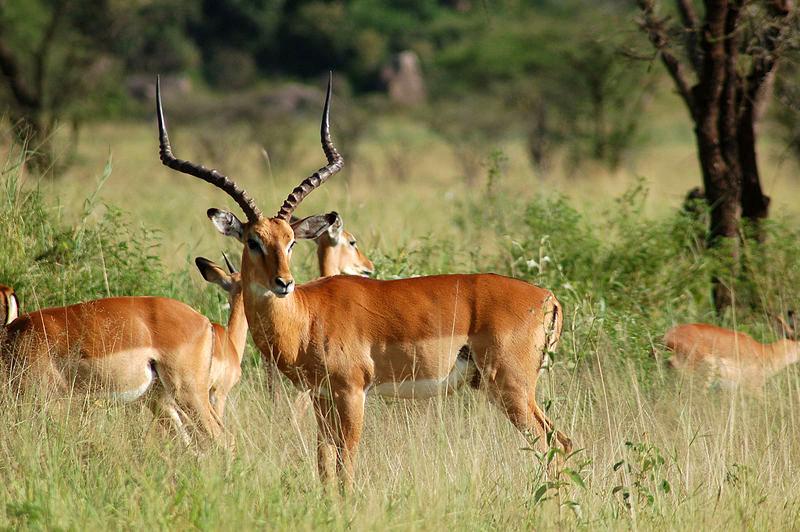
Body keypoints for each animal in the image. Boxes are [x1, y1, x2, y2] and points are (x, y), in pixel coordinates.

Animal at [156, 75, 571, 487]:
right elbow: (324, 464)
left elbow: (347, 464)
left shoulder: (352, 392)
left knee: (554, 443)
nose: (283, 283)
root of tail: (548, 298)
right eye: (253, 241)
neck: (307, 317)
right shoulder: (321, 397)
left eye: (291, 241)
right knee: (561, 442)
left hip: (511, 387)